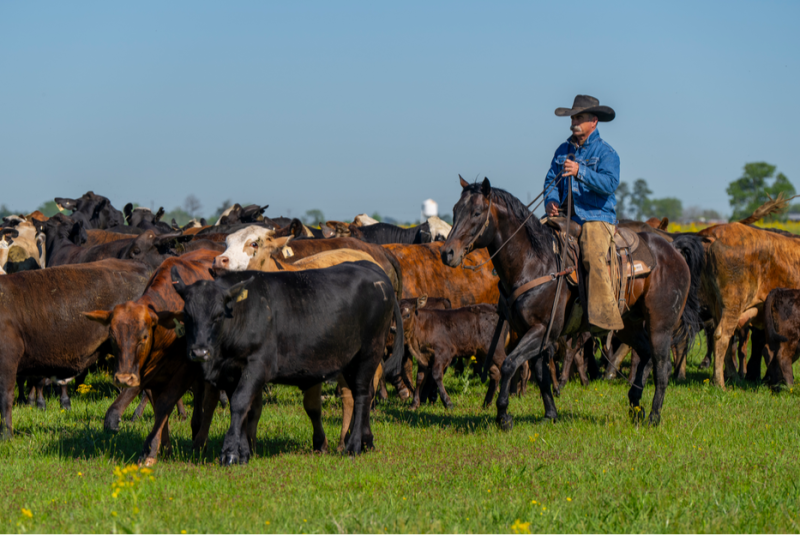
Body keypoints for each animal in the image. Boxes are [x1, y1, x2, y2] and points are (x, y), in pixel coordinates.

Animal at [170, 260, 406, 464]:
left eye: (218, 315)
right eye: (187, 314)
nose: (199, 351)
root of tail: (372, 271)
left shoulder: (257, 365)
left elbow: (239, 403)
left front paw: (230, 453)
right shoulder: (229, 373)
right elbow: (244, 410)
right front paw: (244, 452)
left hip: (369, 353)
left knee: (362, 396)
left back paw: (353, 445)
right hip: (349, 360)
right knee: (361, 397)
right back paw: (367, 441)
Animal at [440, 178, 696, 430]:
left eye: (476, 212)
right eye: (455, 210)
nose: (447, 253)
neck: (534, 263)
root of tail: (673, 251)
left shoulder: (543, 330)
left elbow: (509, 364)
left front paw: (503, 416)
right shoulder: (531, 332)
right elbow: (540, 373)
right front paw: (550, 414)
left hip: (660, 325)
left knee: (662, 366)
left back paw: (653, 416)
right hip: (627, 324)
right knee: (644, 354)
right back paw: (635, 406)